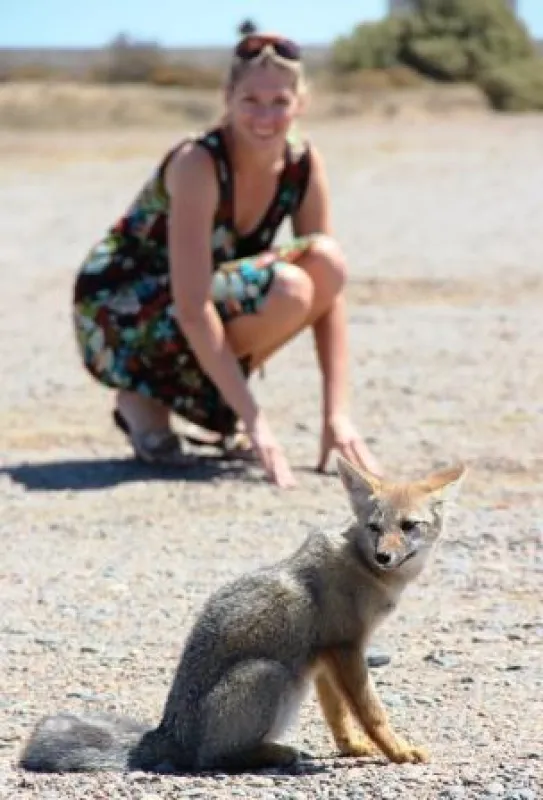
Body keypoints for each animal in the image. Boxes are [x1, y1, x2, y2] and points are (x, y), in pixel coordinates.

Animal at [19, 455, 465, 774]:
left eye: (408, 526)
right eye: (375, 527)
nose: (384, 556)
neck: (362, 566)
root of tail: (169, 733)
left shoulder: (325, 655)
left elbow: (337, 712)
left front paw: (352, 747)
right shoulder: (345, 647)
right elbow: (371, 712)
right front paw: (398, 751)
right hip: (272, 674)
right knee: (210, 761)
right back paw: (277, 753)